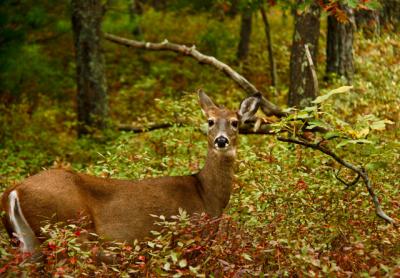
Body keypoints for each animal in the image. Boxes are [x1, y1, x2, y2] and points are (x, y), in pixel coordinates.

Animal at [0, 90, 260, 255]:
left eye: (235, 122)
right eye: (210, 121)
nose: (221, 140)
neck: (206, 194)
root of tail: (13, 191)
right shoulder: (189, 239)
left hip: (25, 241)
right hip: (66, 231)